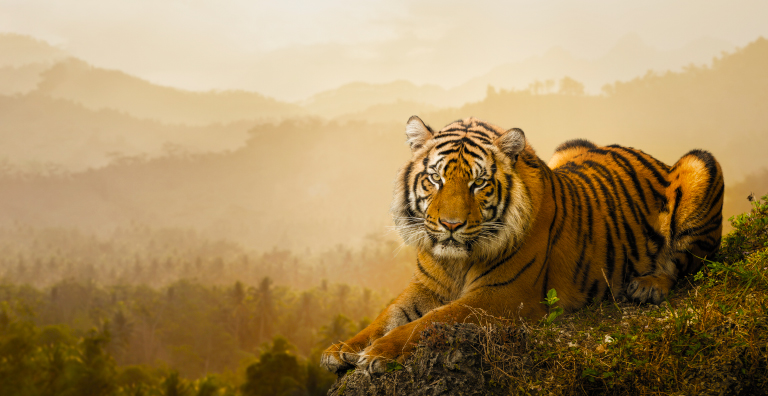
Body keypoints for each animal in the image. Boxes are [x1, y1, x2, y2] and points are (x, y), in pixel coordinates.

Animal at [320, 115, 728, 374]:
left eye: (478, 183)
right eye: (435, 179)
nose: (451, 225)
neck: (454, 261)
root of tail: (647, 154)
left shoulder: (501, 295)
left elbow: (431, 321)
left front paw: (378, 353)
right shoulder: (426, 287)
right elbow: (387, 316)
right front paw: (341, 349)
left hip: (701, 164)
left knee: (687, 260)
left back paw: (647, 286)